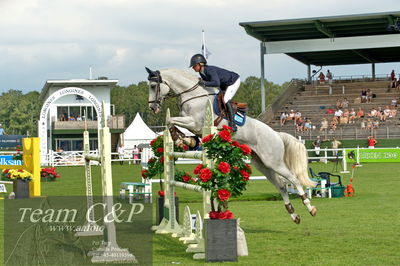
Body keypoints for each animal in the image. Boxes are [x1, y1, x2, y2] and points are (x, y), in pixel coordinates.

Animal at [145, 67, 318, 223]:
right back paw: (293, 215)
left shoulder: (195, 122)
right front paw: (185, 140)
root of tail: (276, 134)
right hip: (262, 164)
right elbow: (172, 123)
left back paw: (310, 207)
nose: (152, 107)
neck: (192, 95)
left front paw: (181, 139)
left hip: (274, 162)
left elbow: (169, 120)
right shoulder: (194, 126)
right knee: (281, 185)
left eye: (153, 86)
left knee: (294, 179)